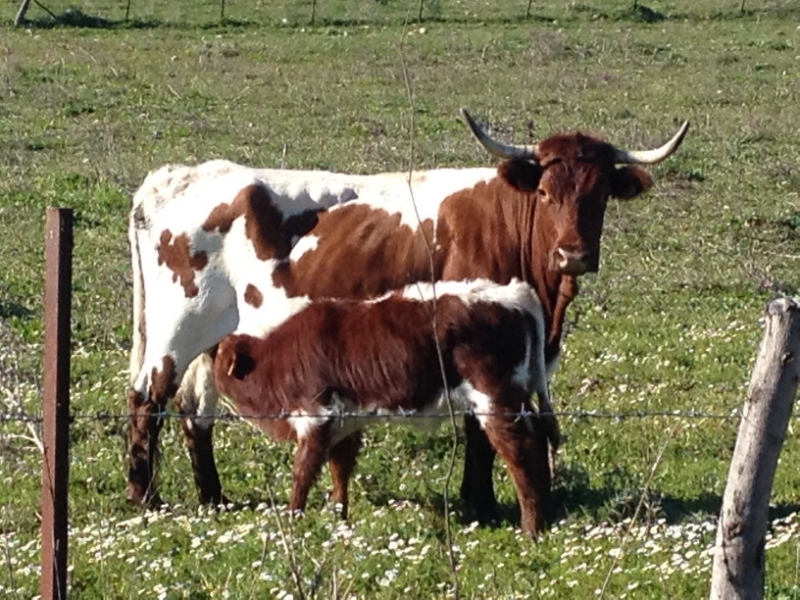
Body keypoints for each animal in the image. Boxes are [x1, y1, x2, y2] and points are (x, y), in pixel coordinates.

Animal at [212, 278, 557, 535]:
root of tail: (515, 293)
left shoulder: (316, 415)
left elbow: (303, 471)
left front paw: (294, 518)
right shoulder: (345, 421)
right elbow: (340, 468)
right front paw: (340, 518)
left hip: (494, 397)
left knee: (519, 449)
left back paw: (531, 527)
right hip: (519, 395)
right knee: (538, 438)